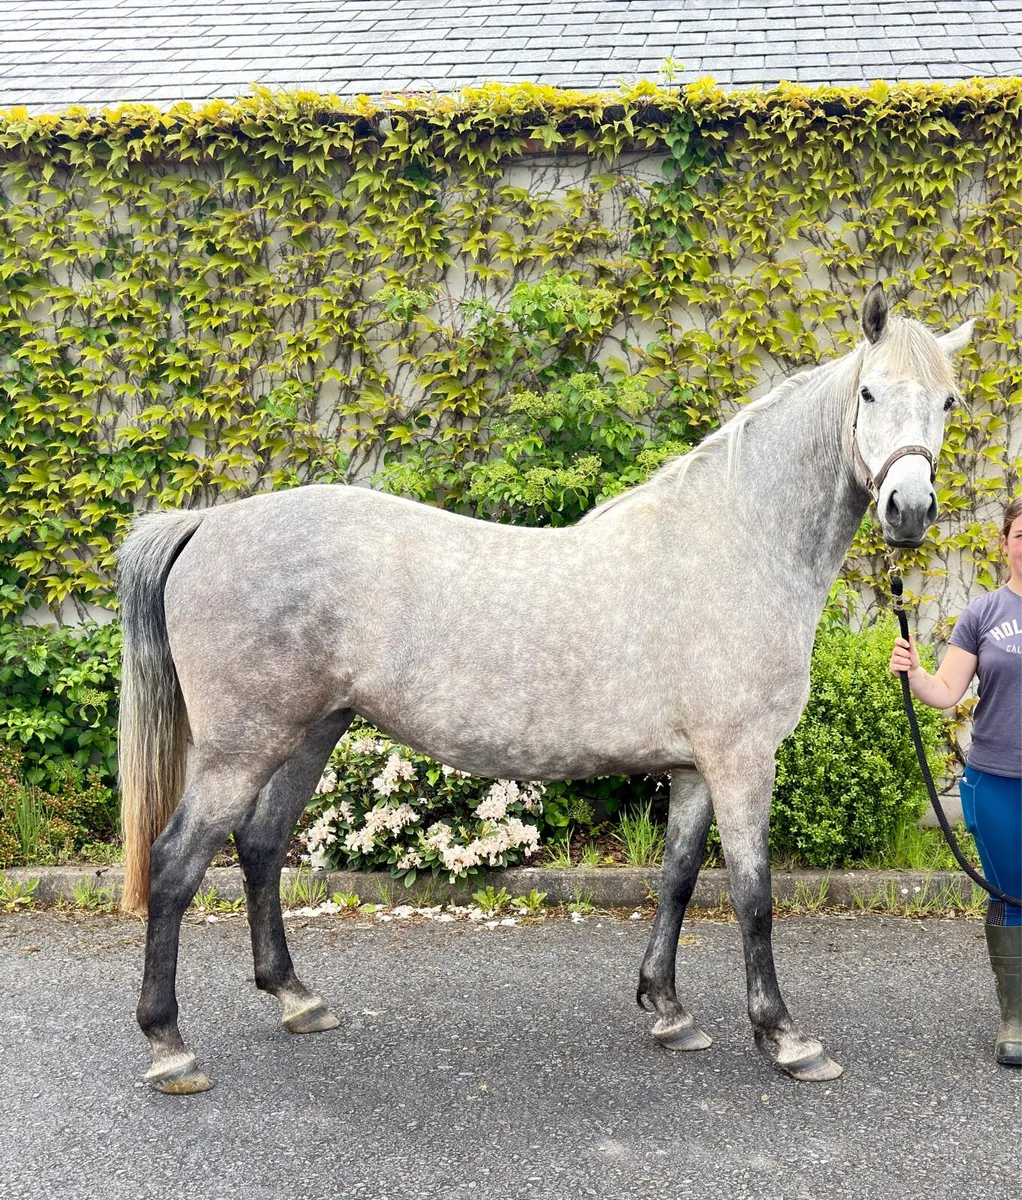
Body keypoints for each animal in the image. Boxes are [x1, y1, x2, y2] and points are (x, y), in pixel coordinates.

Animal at [116, 284, 974, 1093]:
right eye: (870, 393)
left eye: (948, 402)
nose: (909, 509)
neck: (735, 545)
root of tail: (206, 525)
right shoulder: (741, 760)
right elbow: (753, 898)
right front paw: (786, 1039)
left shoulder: (696, 768)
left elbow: (677, 880)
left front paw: (668, 1010)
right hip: (242, 746)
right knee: (177, 864)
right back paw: (169, 1046)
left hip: (311, 732)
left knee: (261, 847)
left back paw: (296, 999)